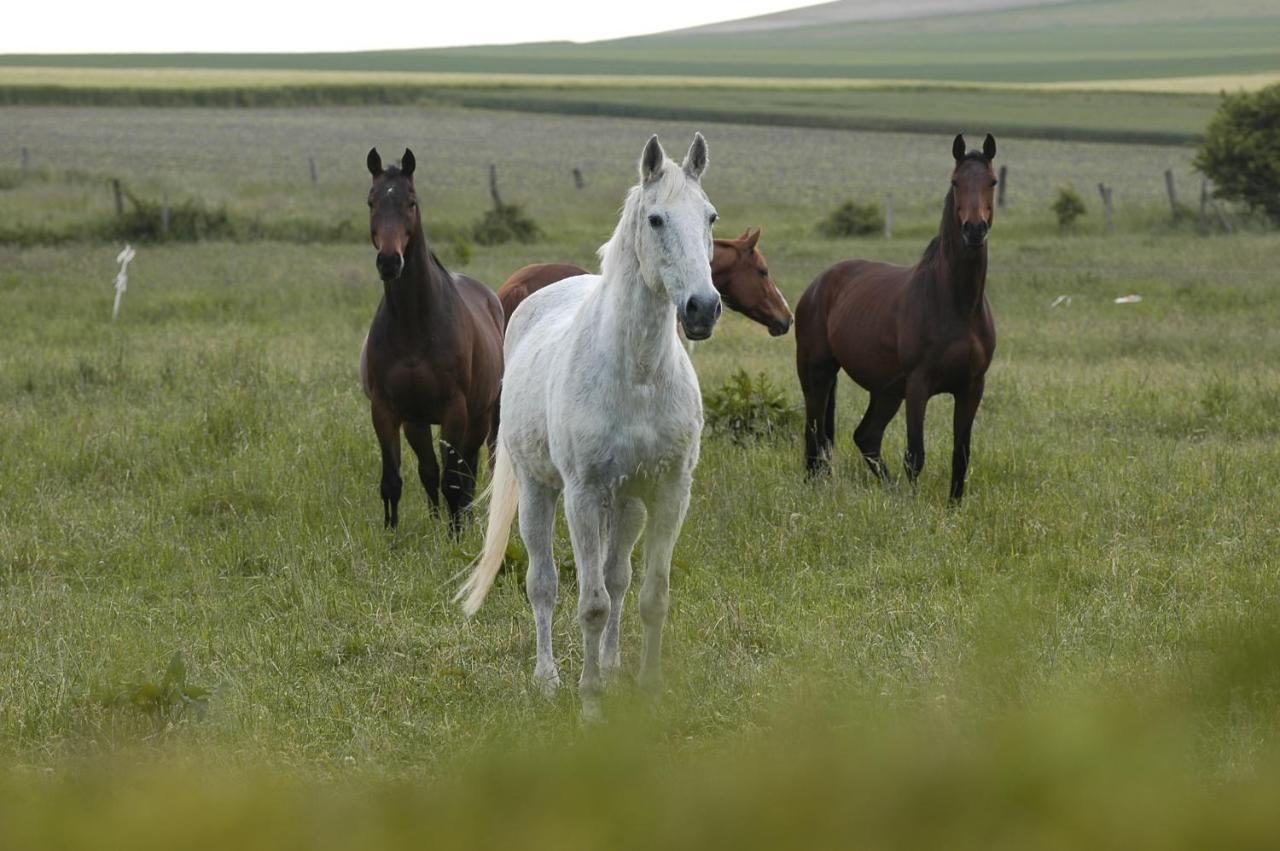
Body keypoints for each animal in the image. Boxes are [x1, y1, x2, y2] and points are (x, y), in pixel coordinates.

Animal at [360, 147, 504, 532]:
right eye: (371, 202)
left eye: (411, 201)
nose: (389, 261)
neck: (413, 327)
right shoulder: (387, 411)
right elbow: (393, 481)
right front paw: (392, 538)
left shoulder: (455, 411)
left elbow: (454, 480)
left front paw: (455, 537)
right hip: (418, 421)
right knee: (429, 471)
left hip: (482, 415)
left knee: (467, 472)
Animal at [458, 133, 721, 716]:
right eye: (655, 219)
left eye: (711, 217)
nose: (703, 308)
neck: (637, 376)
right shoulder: (582, 495)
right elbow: (590, 604)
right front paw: (591, 704)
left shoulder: (670, 492)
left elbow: (651, 595)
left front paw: (645, 689)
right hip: (542, 492)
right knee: (545, 584)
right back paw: (549, 677)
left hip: (624, 504)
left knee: (617, 578)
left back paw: (610, 662)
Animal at [793, 133, 993, 501]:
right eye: (955, 182)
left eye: (993, 182)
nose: (974, 230)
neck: (957, 304)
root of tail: (818, 284)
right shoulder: (918, 384)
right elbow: (915, 454)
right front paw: (913, 507)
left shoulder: (972, 386)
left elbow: (961, 453)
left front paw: (954, 507)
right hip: (818, 372)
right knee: (814, 433)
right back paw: (816, 488)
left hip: (886, 391)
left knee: (866, 436)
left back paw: (890, 491)